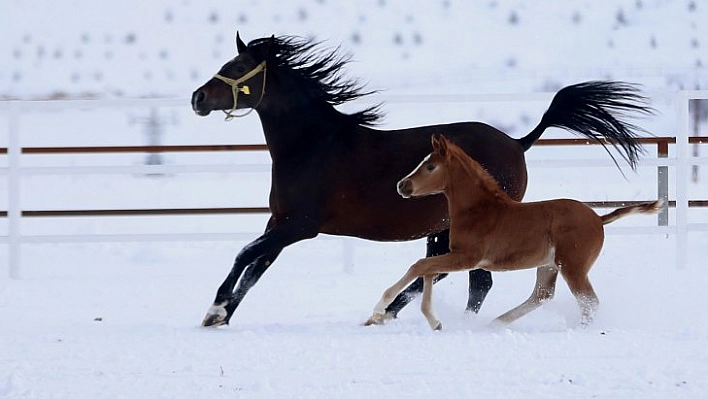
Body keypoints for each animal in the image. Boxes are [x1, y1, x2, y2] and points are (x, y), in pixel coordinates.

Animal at [368, 136, 660, 330]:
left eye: (430, 167)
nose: (402, 186)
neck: (478, 210)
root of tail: (599, 219)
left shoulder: (468, 257)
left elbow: (420, 266)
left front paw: (379, 310)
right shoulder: (457, 256)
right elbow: (427, 270)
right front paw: (434, 321)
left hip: (573, 267)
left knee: (589, 301)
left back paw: (579, 330)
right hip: (549, 265)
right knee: (542, 295)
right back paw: (496, 323)